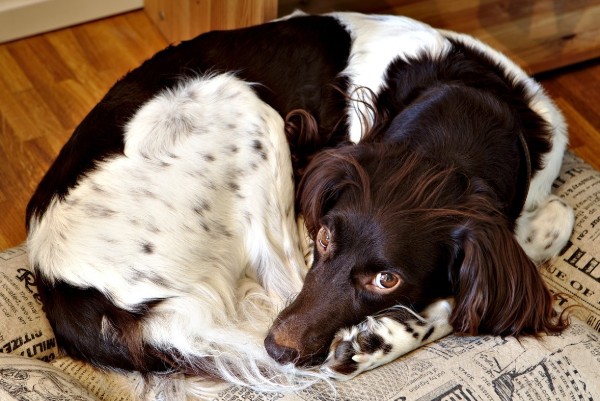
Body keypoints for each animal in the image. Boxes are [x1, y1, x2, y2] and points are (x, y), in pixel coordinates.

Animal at [27, 10, 572, 396]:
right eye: (326, 236)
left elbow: (549, 222)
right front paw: (382, 338)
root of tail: (62, 282)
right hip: (244, 105)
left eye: (386, 279)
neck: (472, 104)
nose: (278, 349)